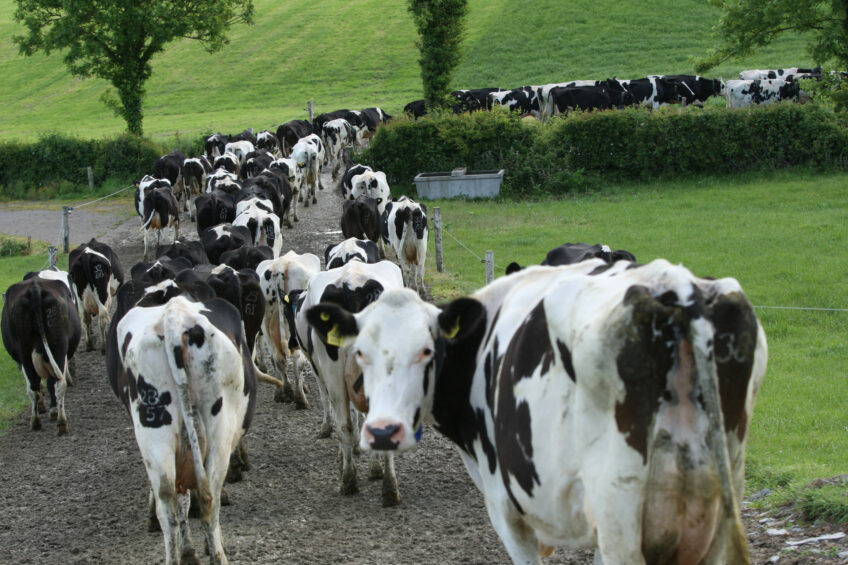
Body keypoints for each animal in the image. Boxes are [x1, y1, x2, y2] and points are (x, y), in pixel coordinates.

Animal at [2, 276, 81, 434]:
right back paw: (61, 422)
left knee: (35, 386)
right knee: (57, 383)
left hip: (25, 352)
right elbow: (49, 383)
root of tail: (35, 287)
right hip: (58, 346)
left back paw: (36, 421)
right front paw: (53, 411)